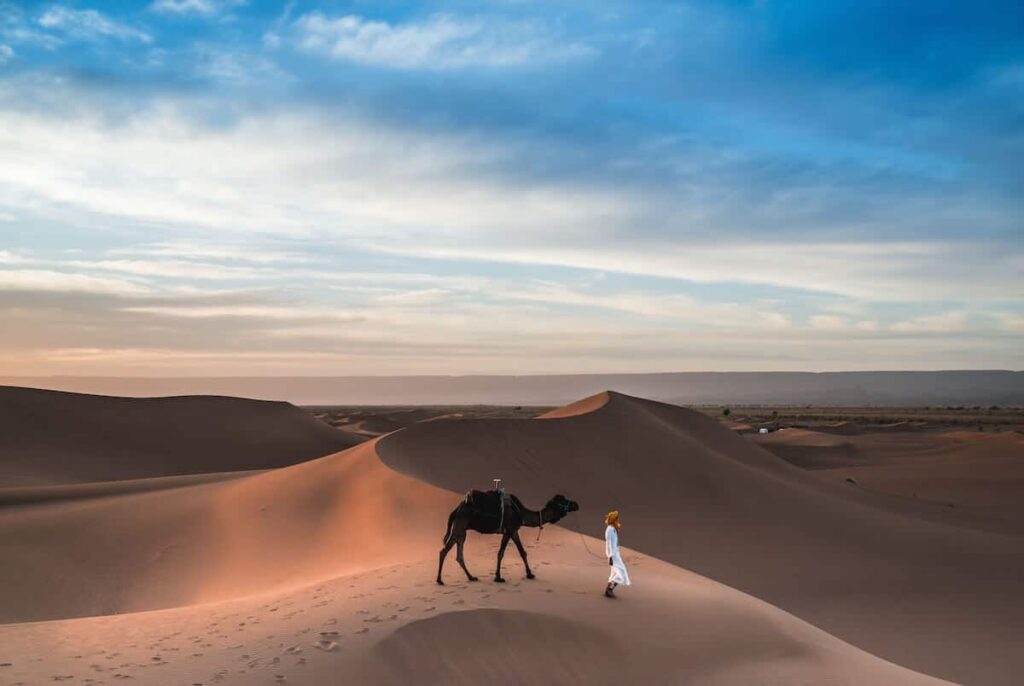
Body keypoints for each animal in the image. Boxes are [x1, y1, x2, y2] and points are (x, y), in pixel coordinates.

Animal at [434, 489, 577, 585]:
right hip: (458, 527)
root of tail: (455, 510)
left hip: (462, 532)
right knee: (443, 551)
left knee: (459, 555)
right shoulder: (508, 530)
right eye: (563, 501)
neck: (521, 513)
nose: (576, 504)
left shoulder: (514, 531)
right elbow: (500, 553)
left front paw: (530, 574)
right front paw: (498, 577)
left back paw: (471, 577)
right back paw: (439, 580)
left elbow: (522, 552)